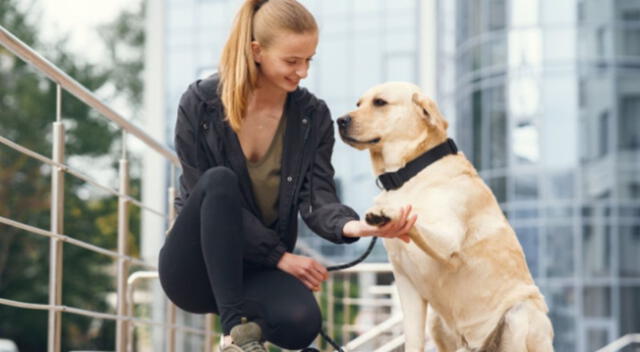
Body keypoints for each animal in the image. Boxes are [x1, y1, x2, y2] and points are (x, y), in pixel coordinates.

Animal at [338, 83, 552, 352]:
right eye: (358, 103)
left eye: (380, 102)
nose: (339, 120)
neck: (408, 174)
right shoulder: (405, 281)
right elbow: (412, 341)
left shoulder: (448, 240)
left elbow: (418, 221)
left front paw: (389, 212)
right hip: (437, 323)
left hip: (520, 313)